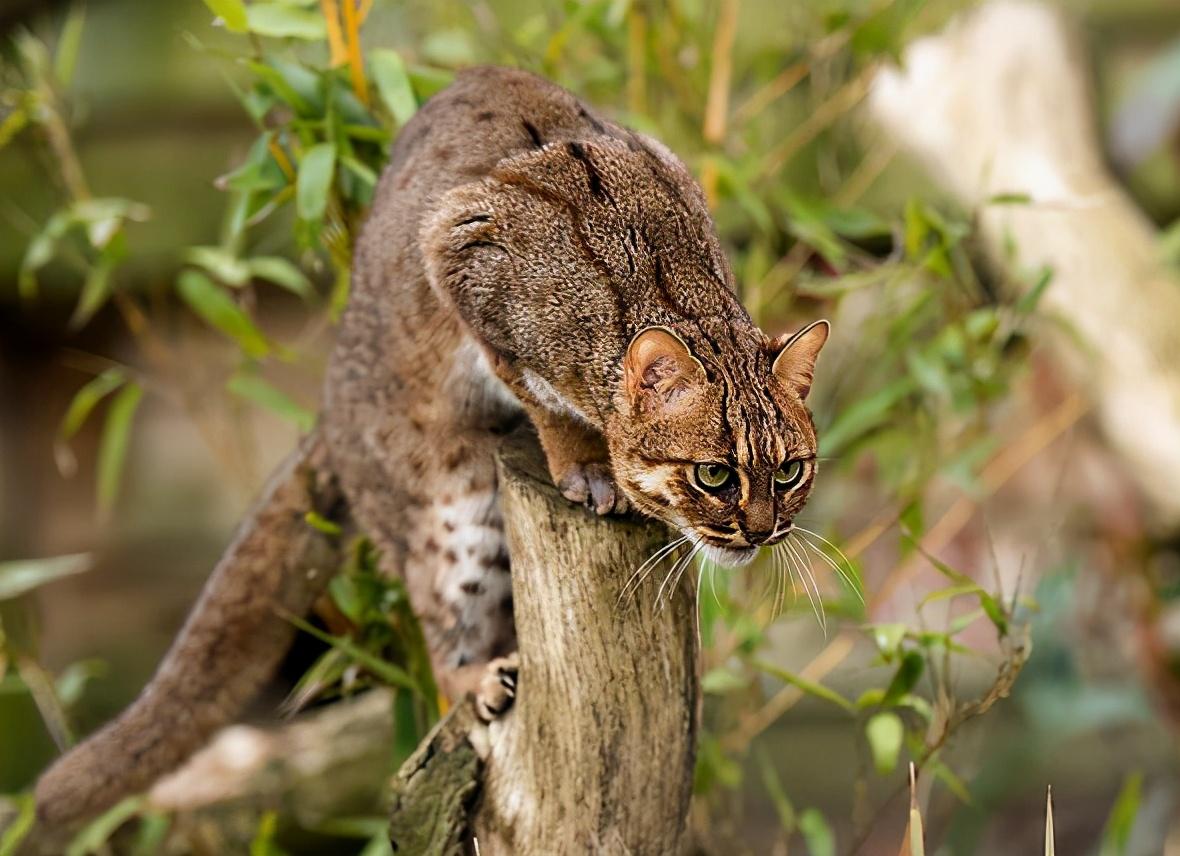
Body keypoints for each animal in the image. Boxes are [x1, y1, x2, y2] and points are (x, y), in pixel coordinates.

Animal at [36, 65, 830, 821]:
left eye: (791, 471)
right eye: (714, 475)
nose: (763, 532)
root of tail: (326, 413)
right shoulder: (459, 248)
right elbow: (534, 390)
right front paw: (584, 463)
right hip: (450, 512)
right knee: (440, 623)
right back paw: (476, 675)